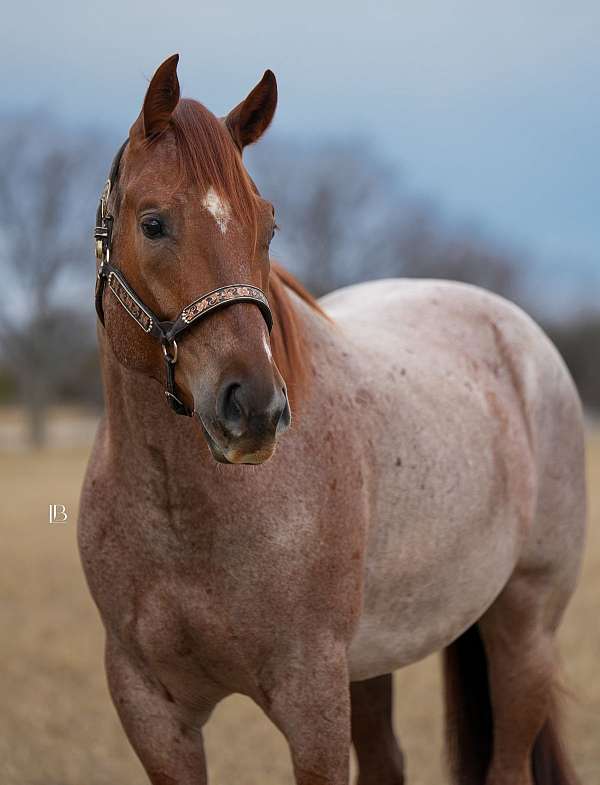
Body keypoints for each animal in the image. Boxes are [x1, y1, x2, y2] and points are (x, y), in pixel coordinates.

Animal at [78, 54, 586, 785]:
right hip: (372, 661)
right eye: (152, 223)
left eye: (267, 226)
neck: (183, 522)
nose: (256, 408)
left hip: (524, 628)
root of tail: (519, 332)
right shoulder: (151, 708)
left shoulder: (311, 695)